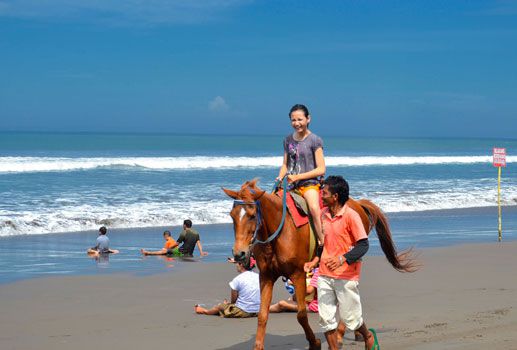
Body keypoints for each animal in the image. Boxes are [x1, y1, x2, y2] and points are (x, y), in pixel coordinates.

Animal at [222, 179, 416, 350]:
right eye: (232, 216)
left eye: (252, 215)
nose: (239, 253)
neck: (279, 231)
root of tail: (357, 203)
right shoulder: (266, 276)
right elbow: (262, 315)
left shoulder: (298, 274)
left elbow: (301, 314)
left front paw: (314, 342)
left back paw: (341, 334)